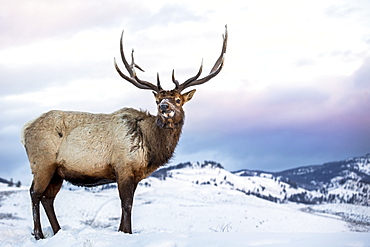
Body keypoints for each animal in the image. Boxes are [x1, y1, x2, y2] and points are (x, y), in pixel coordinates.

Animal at [21, 25, 228, 239]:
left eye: (178, 100)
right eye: (157, 100)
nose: (164, 107)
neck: (151, 147)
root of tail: (25, 129)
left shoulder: (134, 174)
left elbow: (127, 204)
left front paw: (123, 230)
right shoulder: (123, 167)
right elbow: (126, 204)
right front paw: (126, 231)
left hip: (57, 172)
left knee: (48, 198)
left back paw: (58, 231)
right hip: (42, 163)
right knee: (34, 193)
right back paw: (38, 234)